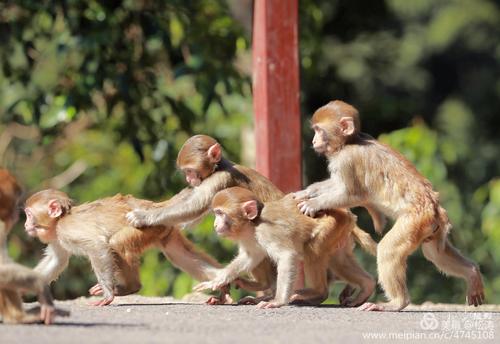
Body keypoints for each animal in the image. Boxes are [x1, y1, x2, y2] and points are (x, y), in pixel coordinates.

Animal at [193, 187, 376, 308]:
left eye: (220, 213)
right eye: (216, 213)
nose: (215, 225)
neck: (252, 224)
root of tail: (348, 214)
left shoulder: (266, 231)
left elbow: (287, 256)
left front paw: (278, 301)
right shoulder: (250, 238)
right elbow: (250, 257)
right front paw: (218, 281)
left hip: (332, 225)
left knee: (312, 250)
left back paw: (317, 291)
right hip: (340, 233)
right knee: (339, 260)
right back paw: (367, 285)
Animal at [292, 99, 484, 312]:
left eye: (319, 130)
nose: (313, 141)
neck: (349, 142)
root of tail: (434, 208)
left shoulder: (346, 160)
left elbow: (350, 193)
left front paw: (313, 203)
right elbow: (334, 184)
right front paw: (307, 192)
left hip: (414, 222)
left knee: (389, 250)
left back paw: (396, 302)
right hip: (431, 229)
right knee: (436, 254)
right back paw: (472, 273)